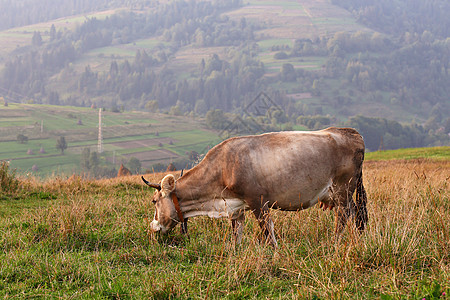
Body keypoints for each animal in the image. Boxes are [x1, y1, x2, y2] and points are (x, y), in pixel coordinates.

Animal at [142, 126, 368, 246]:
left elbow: (267, 231)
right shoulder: (236, 206)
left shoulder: (258, 201)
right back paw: (358, 238)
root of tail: (350, 132)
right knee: (356, 214)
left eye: (154, 201)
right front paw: (235, 251)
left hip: (342, 189)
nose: (152, 227)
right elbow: (237, 233)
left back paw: (336, 242)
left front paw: (275, 252)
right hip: (344, 193)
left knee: (344, 216)